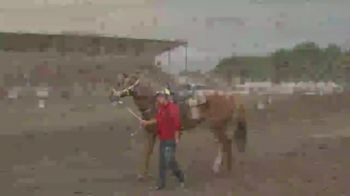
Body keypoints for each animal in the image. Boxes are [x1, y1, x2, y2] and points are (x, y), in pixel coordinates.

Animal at [108, 72, 247, 178]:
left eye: (123, 83)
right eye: (119, 82)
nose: (111, 96)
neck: (155, 104)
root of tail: (229, 97)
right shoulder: (151, 133)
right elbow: (148, 151)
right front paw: (143, 174)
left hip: (218, 126)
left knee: (226, 143)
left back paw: (226, 169)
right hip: (215, 127)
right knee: (222, 144)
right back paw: (217, 167)